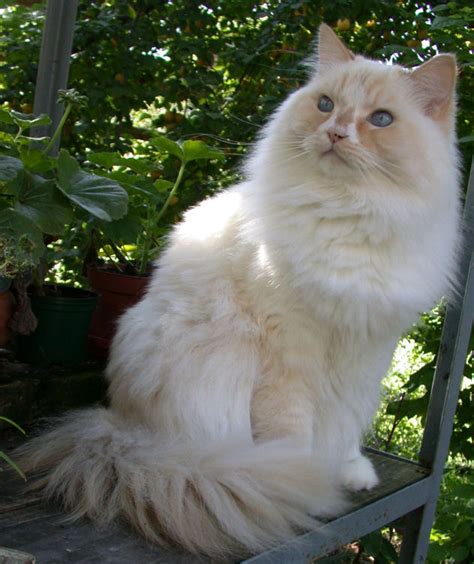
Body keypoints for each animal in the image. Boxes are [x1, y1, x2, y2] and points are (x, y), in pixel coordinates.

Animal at [18, 23, 460, 560]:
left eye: (380, 120)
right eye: (326, 105)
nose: (335, 133)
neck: (349, 213)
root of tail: (122, 430)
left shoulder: (365, 350)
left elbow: (345, 423)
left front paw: (347, 470)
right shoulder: (290, 353)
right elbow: (296, 432)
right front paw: (302, 479)